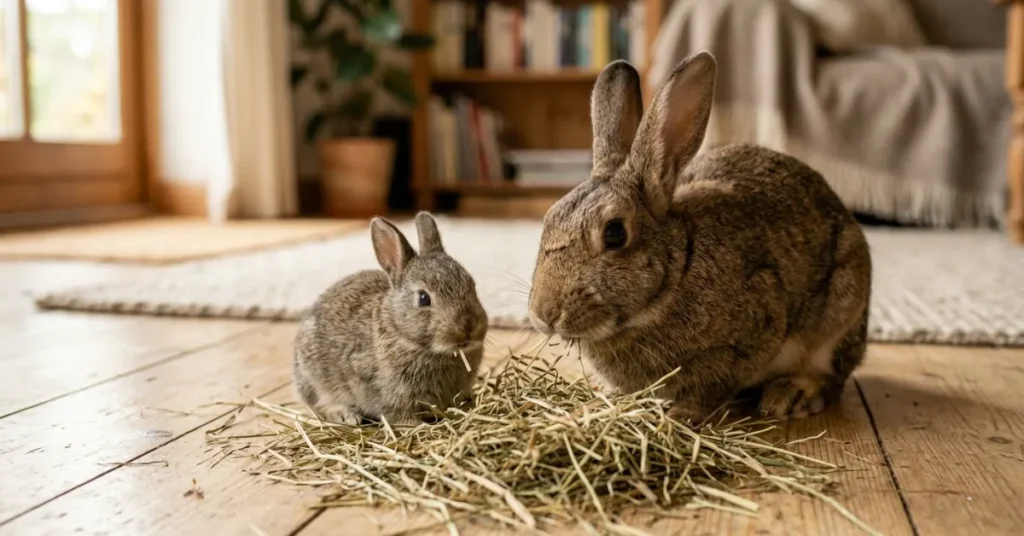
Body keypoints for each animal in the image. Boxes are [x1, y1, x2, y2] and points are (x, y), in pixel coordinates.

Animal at [292, 211, 488, 426]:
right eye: (423, 298)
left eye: (472, 285)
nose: (469, 325)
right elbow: (400, 414)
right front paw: (416, 425)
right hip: (315, 380)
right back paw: (348, 416)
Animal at [527, 51, 872, 423]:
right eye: (549, 218)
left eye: (615, 233)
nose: (544, 313)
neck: (678, 272)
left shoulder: (743, 340)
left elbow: (708, 389)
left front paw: (678, 416)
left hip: (840, 309)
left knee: (830, 374)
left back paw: (791, 395)